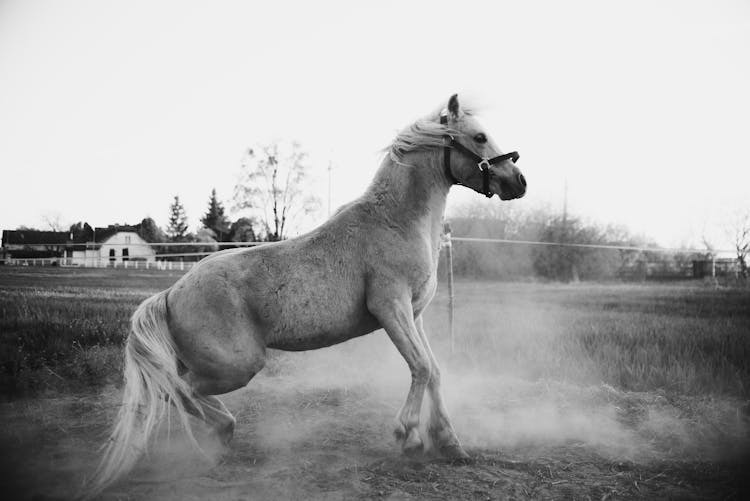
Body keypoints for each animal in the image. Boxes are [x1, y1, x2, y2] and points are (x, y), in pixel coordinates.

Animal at [86, 94, 528, 496]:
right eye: (480, 136)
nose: (519, 182)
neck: (396, 221)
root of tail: (170, 293)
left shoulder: (414, 314)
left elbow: (434, 370)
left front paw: (450, 444)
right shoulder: (391, 308)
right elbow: (421, 368)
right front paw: (409, 438)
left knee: (172, 389)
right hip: (238, 366)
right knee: (177, 390)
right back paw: (224, 432)